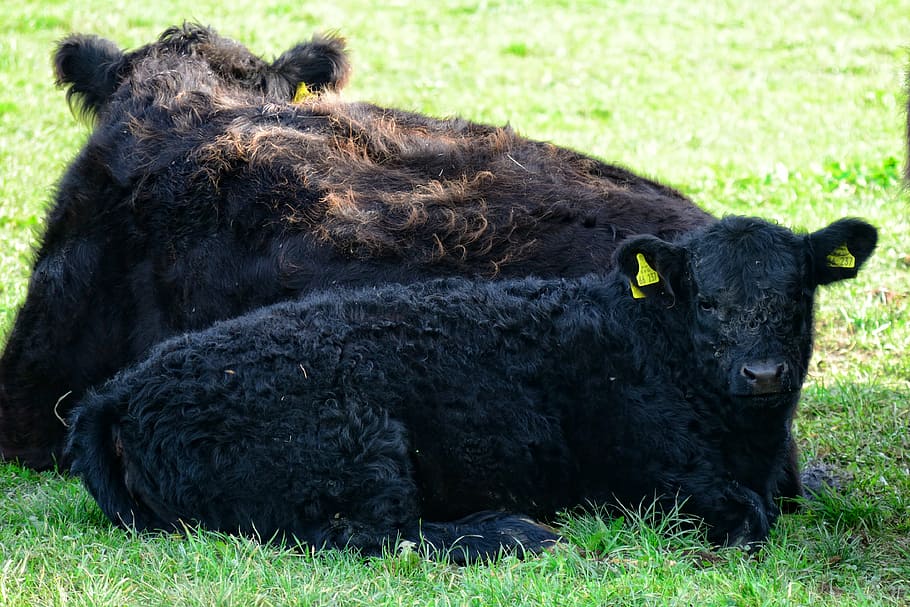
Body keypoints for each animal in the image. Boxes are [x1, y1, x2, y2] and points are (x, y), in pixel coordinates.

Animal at [64, 216, 877, 563]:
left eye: (798, 294)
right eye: (705, 300)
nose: (763, 372)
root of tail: (123, 389)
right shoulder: (657, 479)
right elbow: (747, 516)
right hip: (351, 441)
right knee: (371, 534)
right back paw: (511, 532)